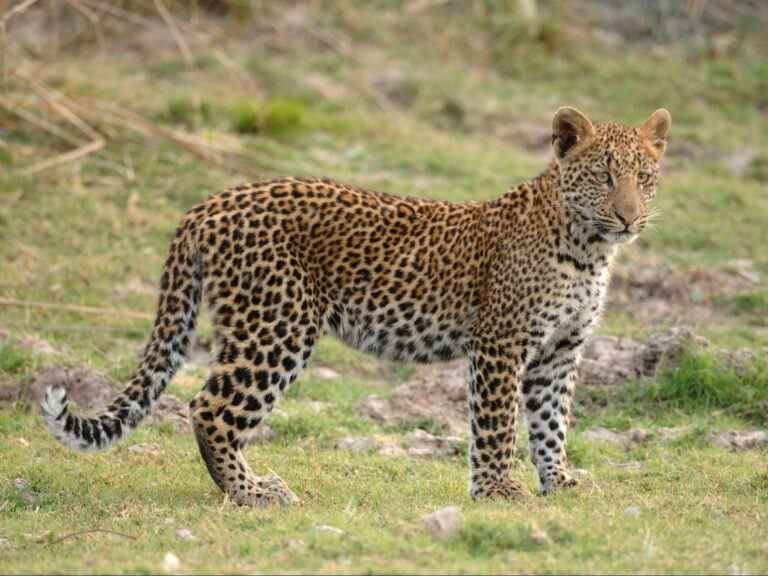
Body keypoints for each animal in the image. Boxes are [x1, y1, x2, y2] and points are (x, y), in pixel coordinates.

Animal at [40, 106, 664, 506]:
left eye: (646, 177)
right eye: (604, 176)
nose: (630, 217)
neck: (589, 249)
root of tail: (210, 203)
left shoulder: (560, 350)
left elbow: (552, 421)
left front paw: (558, 482)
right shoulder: (500, 343)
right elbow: (496, 424)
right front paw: (498, 491)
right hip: (277, 325)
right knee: (209, 408)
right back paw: (252, 492)